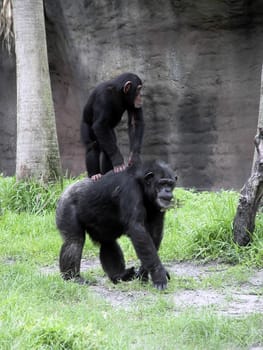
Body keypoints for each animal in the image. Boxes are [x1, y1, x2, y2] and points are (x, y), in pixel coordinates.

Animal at [57, 161, 177, 290]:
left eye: (170, 184)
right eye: (162, 183)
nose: (167, 191)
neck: (142, 183)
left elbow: (154, 231)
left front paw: (144, 272)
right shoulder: (129, 189)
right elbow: (137, 228)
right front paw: (158, 274)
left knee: (108, 243)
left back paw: (119, 275)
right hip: (66, 206)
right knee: (74, 241)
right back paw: (73, 277)